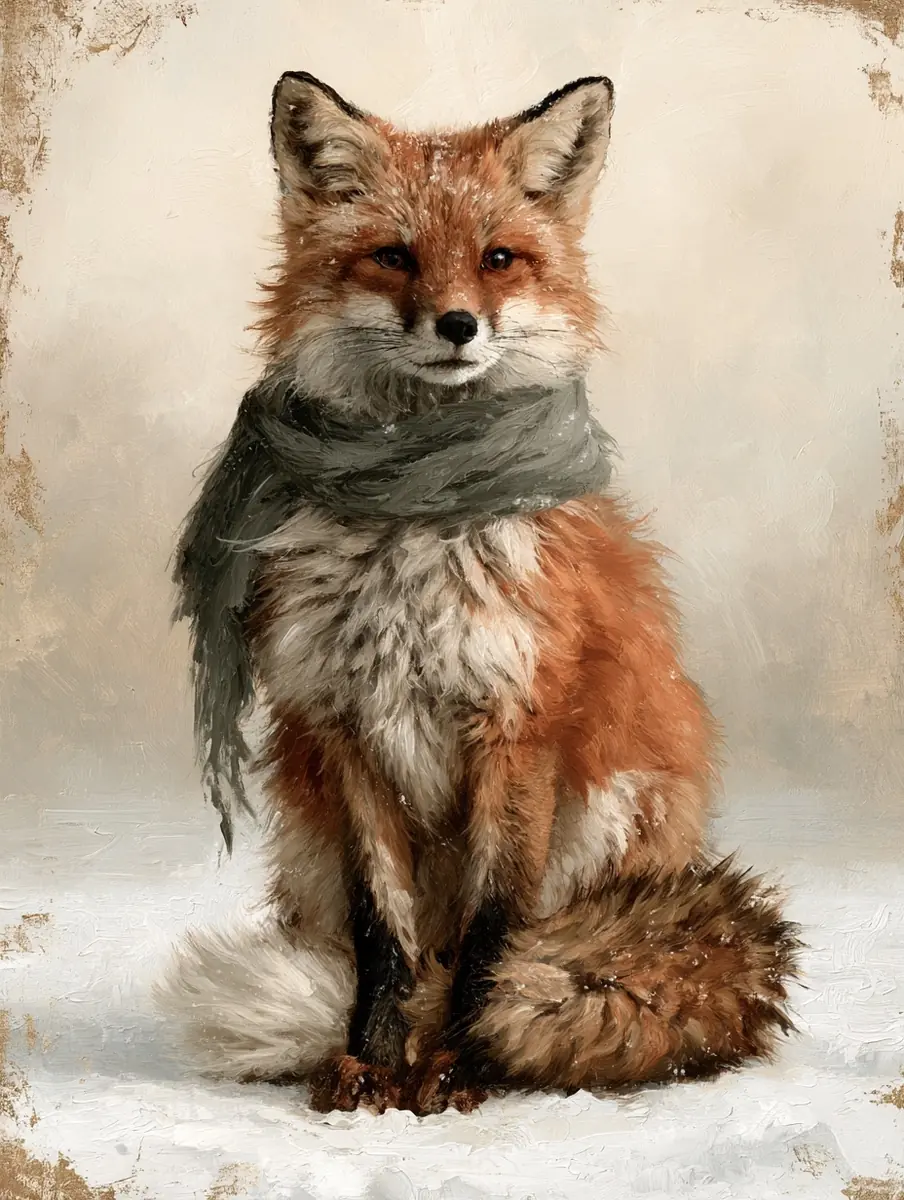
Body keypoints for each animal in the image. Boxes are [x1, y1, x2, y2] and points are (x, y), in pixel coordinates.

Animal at [157, 71, 801, 1116]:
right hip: (308, 831)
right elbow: (384, 938)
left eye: (499, 260)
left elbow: (495, 935)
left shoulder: (517, 724)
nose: (458, 325)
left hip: (614, 807)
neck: (418, 503)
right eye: (394, 257)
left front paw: (462, 1062)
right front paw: (373, 1061)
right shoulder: (347, 729)